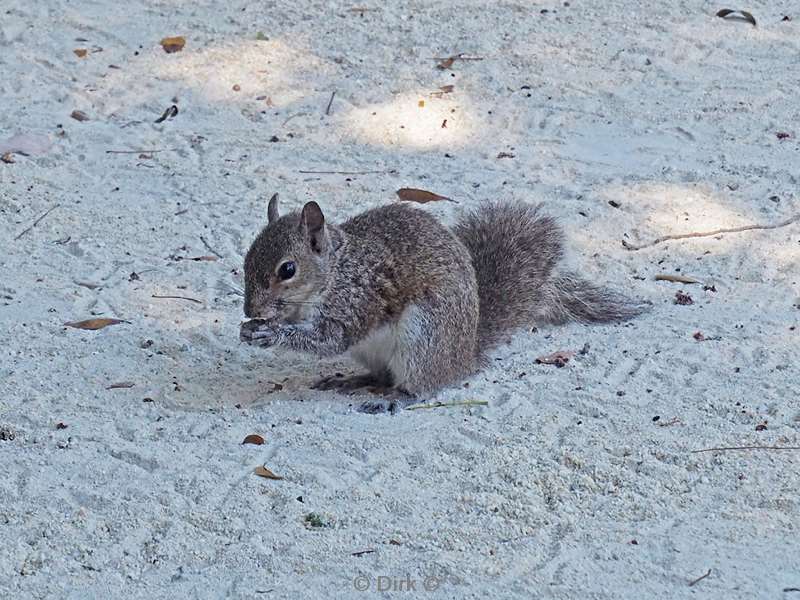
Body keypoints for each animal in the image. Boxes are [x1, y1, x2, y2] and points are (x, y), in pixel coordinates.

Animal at [241, 195, 648, 410]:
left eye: (288, 269)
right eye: (245, 258)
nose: (250, 311)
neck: (335, 271)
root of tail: (464, 356)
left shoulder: (358, 299)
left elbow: (329, 339)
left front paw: (271, 335)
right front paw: (253, 329)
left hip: (423, 336)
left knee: (422, 384)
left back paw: (395, 397)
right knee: (381, 373)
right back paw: (355, 380)